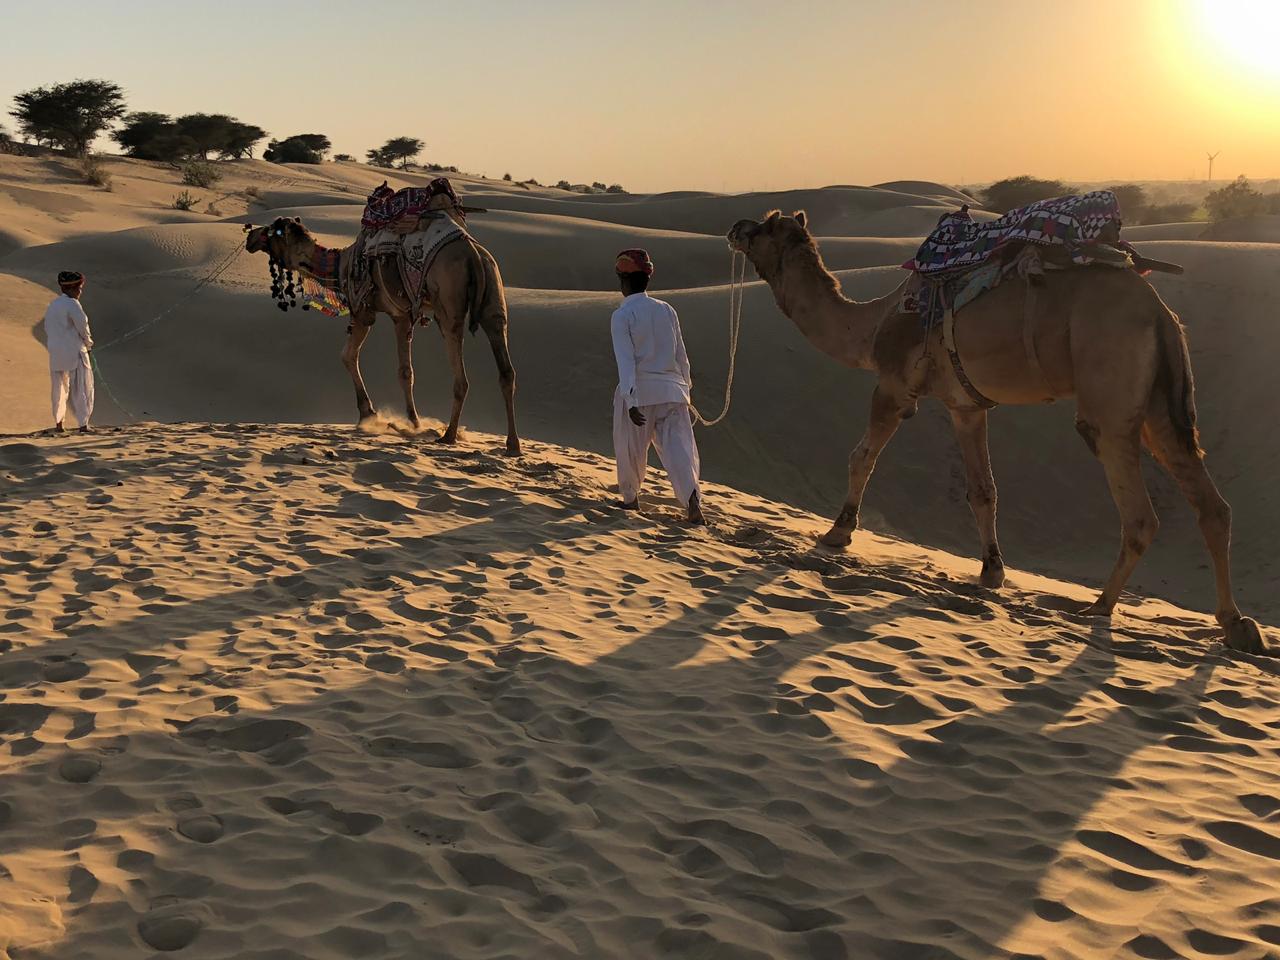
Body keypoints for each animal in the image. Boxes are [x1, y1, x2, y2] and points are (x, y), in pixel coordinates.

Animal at [241, 217, 517, 458]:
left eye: (272, 230)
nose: (250, 236)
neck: (340, 263)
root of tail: (474, 254)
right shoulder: (402, 316)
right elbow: (406, 372)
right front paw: (414, 423)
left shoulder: (365, 310)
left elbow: (348, 356)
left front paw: (369, 414)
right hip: (494, 297)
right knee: (506, 369)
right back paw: (512, 445)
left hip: (449, 304)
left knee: (461, 375)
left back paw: (449, 436)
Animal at [727, 211, 1264, 660]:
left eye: (766, 228)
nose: (736, 227)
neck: (872, 323)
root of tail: (1160, 313)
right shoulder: (965, 405)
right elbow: (983, 491)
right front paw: (991, 571)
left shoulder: (895, 385)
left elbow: (862, 456)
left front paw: (837, 534)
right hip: (1159, 407)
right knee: (1212, 504)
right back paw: (1236, 625)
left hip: (1110, 394)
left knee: (1139, 513)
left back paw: (1099, 606)